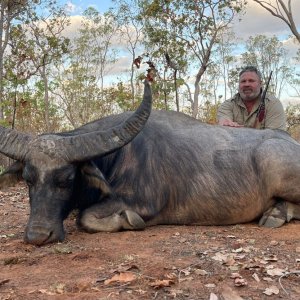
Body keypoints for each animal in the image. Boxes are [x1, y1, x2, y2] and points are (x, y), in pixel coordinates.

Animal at [0, 81, 300, 245]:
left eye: (67, 179)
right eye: (28, 179)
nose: (38, 235)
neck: (118, 156)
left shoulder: (143, 203)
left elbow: (85, 217)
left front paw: (130, 221)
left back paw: (277, 214)